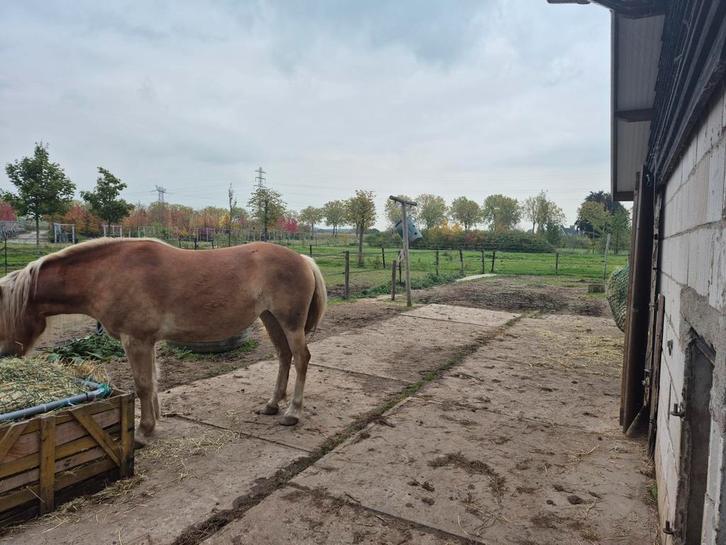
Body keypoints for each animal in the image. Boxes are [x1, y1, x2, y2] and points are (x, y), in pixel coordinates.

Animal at [0, 238, 327, 443]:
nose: (5, 354)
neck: (107, 273)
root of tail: (302, 258)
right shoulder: (147, 341)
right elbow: (153, 382)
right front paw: (155, 421)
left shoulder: (135, 340)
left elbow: (143, 385)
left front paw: (144, 431)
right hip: (271, 319)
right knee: (284, 356)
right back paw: (273, 404)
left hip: (290, 323)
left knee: (301, 359)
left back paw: (292, 413)